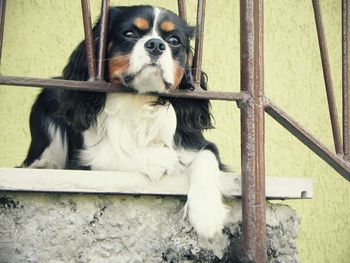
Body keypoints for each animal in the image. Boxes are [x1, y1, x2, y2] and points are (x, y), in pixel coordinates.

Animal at [21, 5, 230, 242]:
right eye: (129, 34)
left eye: (174, 40)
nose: (156, 44)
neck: (139, 100)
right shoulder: (89, 160)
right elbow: (120, 154)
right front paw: (163, 160)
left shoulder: (197, 145)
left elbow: (205, 158)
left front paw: (207, 215)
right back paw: (44, 165)